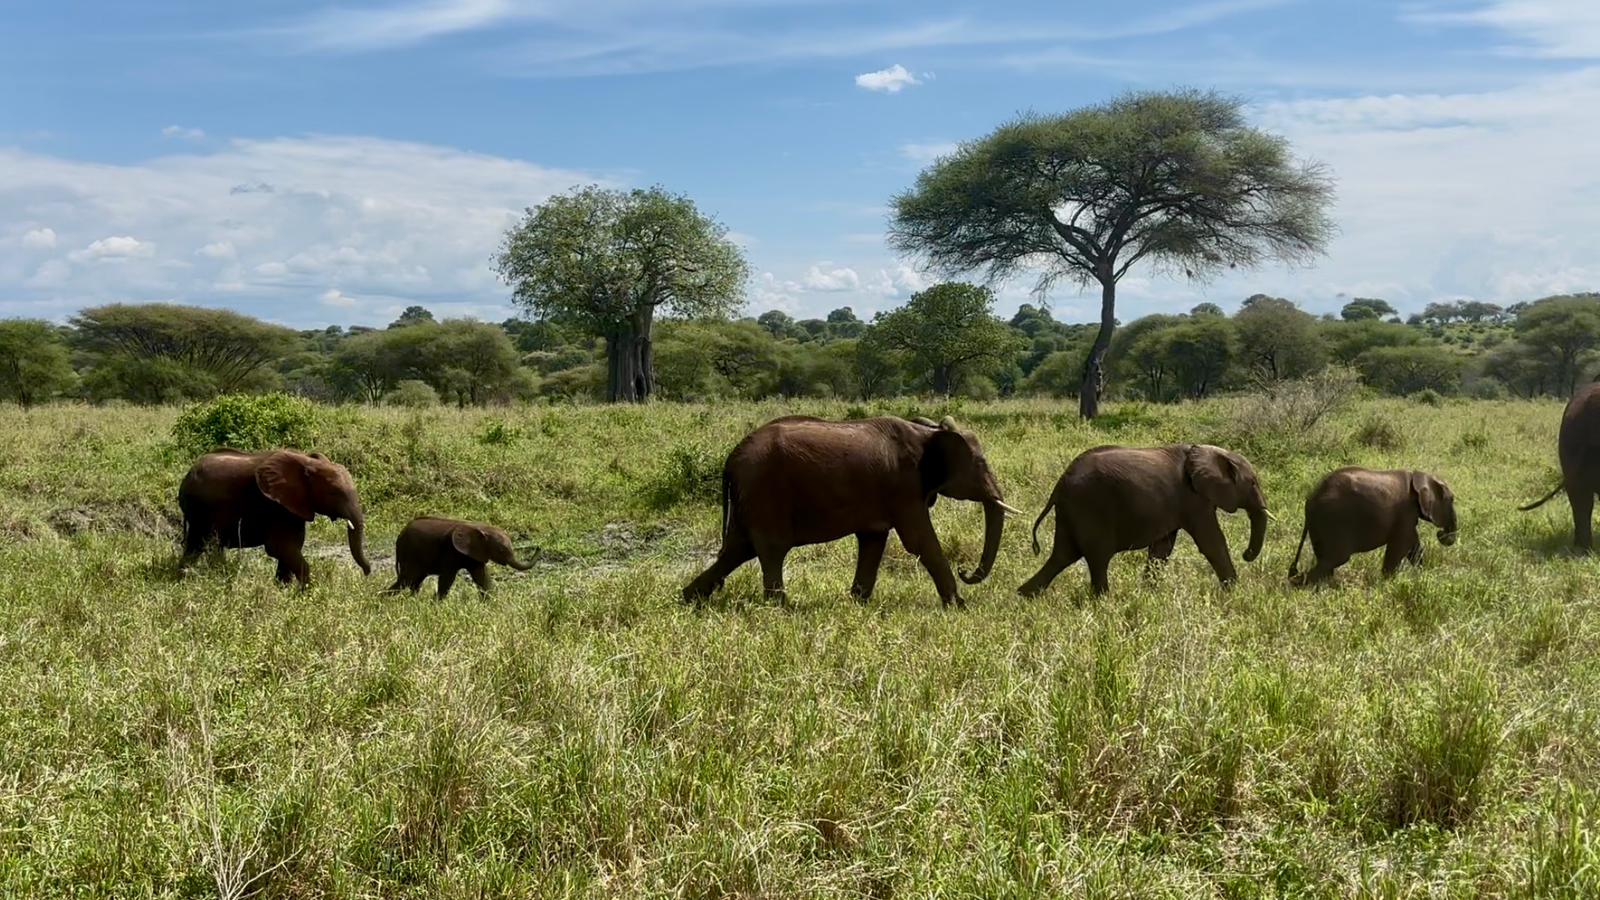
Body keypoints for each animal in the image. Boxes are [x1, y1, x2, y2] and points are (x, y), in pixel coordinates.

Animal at [178, 449, 371, 585]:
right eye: (334, 493)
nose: (366, 574)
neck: (307, 462)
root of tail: (187, 476)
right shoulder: (276, 506)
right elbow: (280, 547)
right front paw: (306, 595)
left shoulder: (292, 507)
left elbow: (291, 547)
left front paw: (283, 590)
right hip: (204, 509)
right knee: (209, 544)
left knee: (195, 546)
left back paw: (182, 579)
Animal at [387, 516, 534, 598]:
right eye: (502, 550)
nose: (537, 548)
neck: (481, 527)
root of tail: (400, 534)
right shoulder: (450, 551)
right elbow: (447, 578)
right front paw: (436, 604)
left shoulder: (474, 554)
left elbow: (482, 577)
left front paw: (491, 604)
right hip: (410, 554)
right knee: (407, 580)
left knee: (414, 581)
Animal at [681, 416, 1021, 607]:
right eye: (980, 464)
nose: (967, 573)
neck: (927, 432)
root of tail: (731, 458)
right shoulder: (904, 487)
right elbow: (920, 541)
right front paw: (959, 606)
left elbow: (873, 541)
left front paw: (858, 602)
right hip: (765, 491)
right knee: (770, 548)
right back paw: (780, 607)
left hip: (749, 497)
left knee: (738, 550)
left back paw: (690, 599)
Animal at [1018, 444, 1270, 597]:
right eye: (1253, 483)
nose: (1246, 554)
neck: (1208, 450)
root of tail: (1059, 484)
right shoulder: (1194, 499)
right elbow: (1212, 542)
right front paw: (1234, 590)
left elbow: (1162, 548)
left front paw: (1149, 594)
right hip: (1090, 506)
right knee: (1097, 557)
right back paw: (1103, 602)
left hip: (1071, 511)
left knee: (1062, 556)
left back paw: (1023, 595)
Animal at [1288, 468, 1457, 585]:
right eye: (1451, 500)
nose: (1442, 534)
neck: (1419, 476)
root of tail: (1310, 499)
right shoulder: (1405, 512)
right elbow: (1401, 545)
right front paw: (1387, 584)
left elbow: (1413, 546)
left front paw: (1422, 576)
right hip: (1331, 521)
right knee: (1334, 560)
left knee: (1326, 561)